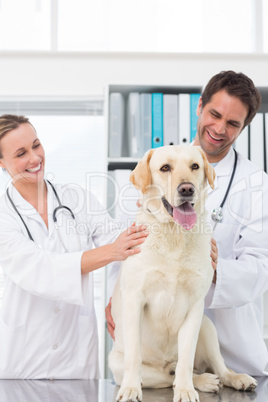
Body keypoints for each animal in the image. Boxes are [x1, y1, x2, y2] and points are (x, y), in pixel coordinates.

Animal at [109, 145, 258, 402]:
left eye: (195, 166)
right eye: (165, 168)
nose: (186, 189)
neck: (175, 235)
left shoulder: (195, 306)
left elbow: (186, 358)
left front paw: (187, 390)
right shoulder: (134, 300)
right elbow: (134, 356)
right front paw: (130, 389)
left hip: (207, 327)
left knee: (210, 366)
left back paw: (229, 378)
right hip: (119, 362)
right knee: (166, 375)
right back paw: (201, 380)